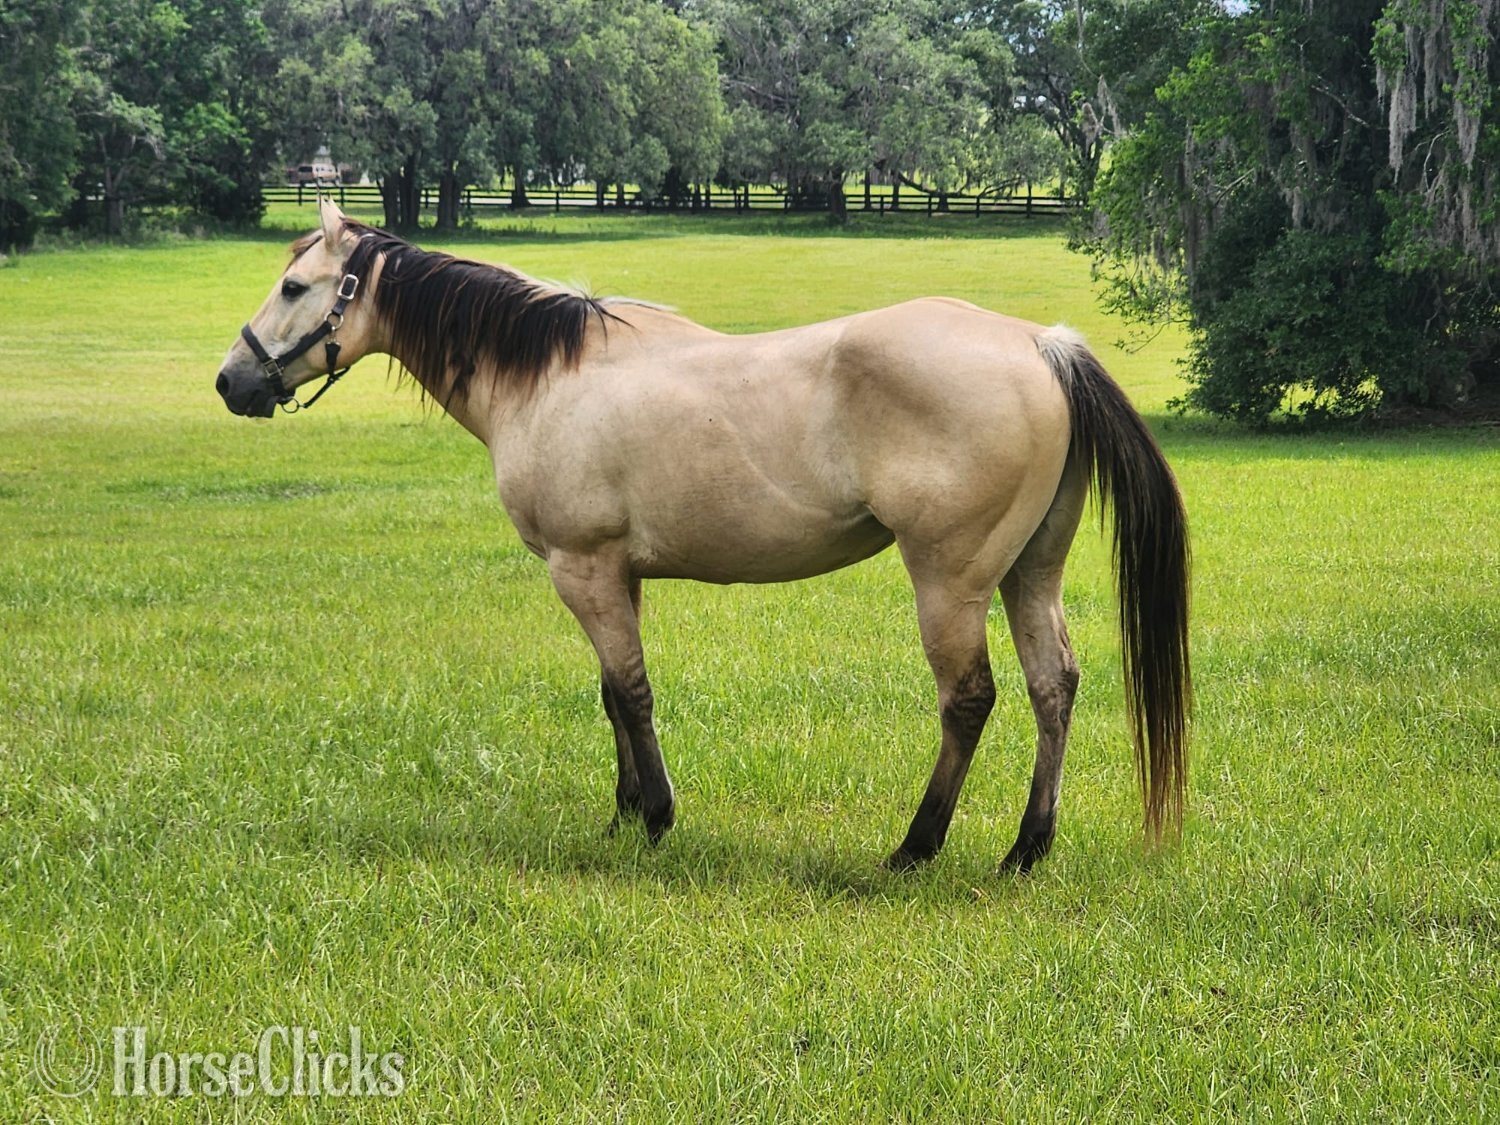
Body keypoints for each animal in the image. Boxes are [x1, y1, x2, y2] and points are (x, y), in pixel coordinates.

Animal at [216, 199, 1190, 874]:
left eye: (295, 288)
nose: (232, 381)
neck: (551, 376)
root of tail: (1039, 343)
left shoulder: (582, 569)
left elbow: (633, 691)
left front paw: (654, 816)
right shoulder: (616, 574)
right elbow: (612, 695)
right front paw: (621, 812)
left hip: (950, 580)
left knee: (970, 699)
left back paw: (916, 845)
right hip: (1030, 571)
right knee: (1052, 687)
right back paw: (1027, 847)